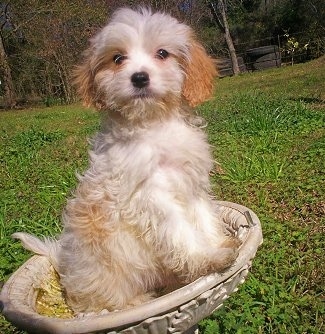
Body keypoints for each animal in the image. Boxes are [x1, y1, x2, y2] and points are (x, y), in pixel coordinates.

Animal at [13, 6, 238, 314]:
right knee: (103, 305)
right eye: (118, 58)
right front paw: (206, 259)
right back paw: (138, 301)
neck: (154, 124)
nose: (139, 77)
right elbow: (181, 231)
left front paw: (218, 247)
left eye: (162, 53)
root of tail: (63, 265)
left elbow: (204, 219)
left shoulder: (192, 184)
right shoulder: (152, 196)